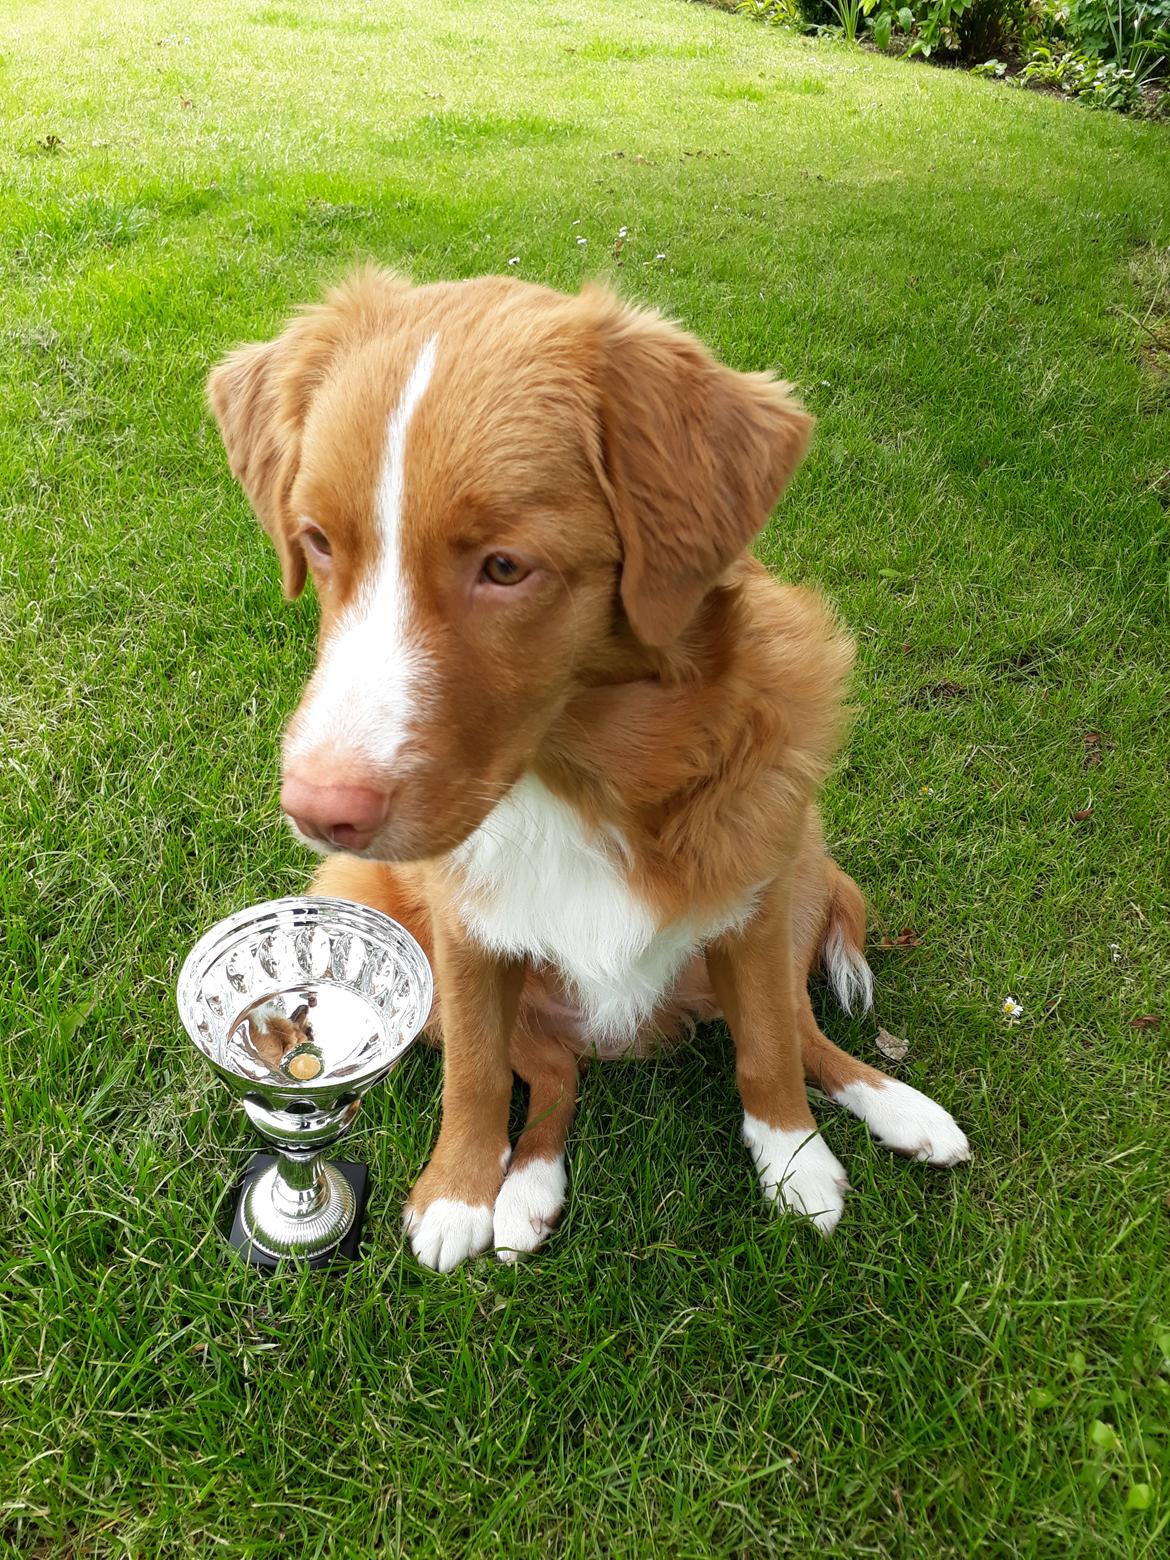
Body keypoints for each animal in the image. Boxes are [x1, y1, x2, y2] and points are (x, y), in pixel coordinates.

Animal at [209, 265, 973, 1266]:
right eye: (320, 542)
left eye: (505, 567)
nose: (318, 808)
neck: (577, 776)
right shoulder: (462, 938)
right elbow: (478, 1076)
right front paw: (457, 1191)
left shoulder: (754, 906)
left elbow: (769, 1042)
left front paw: (794, 1155)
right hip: (381, 905)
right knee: (550, 1072)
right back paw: (526, 1188)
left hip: (794, 855)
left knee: (797, 1024)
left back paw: (899, 1108)